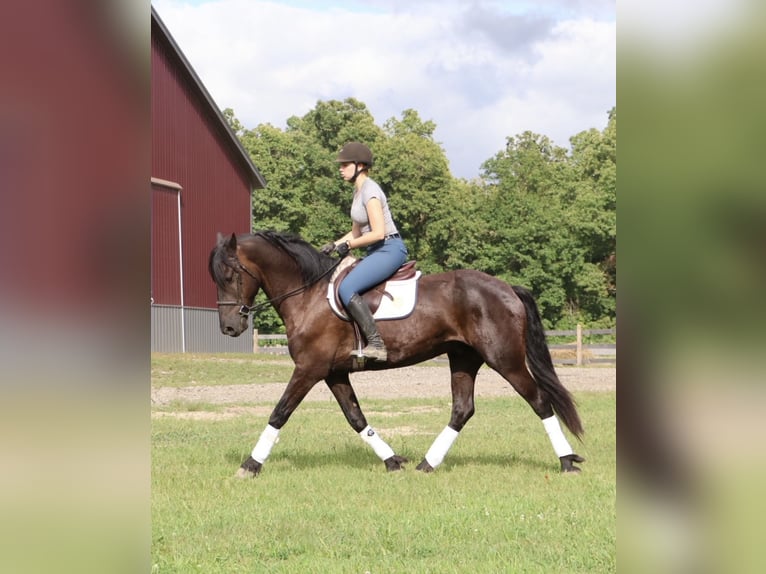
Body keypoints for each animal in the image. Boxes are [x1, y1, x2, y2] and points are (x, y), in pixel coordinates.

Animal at [208, 230, 585, 477]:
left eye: (229, 274)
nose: (228, 327)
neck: (307, 294)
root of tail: (507, 287)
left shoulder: (309, 369)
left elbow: (279, 412)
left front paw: (250, 465)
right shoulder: (333, 373)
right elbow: (356, 418)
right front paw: (392, 461)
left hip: (504, 359)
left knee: (539, 401)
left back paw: (567, 461)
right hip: (463, 358)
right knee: (462, 409)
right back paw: (426, 464)